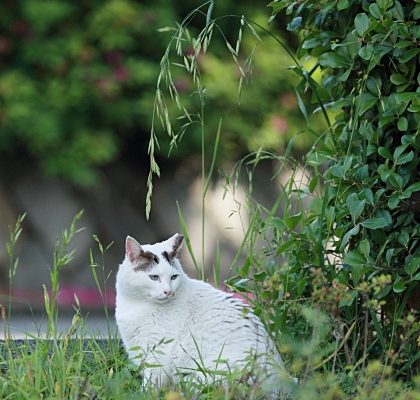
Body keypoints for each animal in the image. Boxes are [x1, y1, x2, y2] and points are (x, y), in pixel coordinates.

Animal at [115, 233, 296, 396]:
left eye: (173, 277)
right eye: (154, 277)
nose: (169, 292)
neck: (137, 304)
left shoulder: (158, 351)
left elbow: (151, 382)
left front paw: (144, 394)